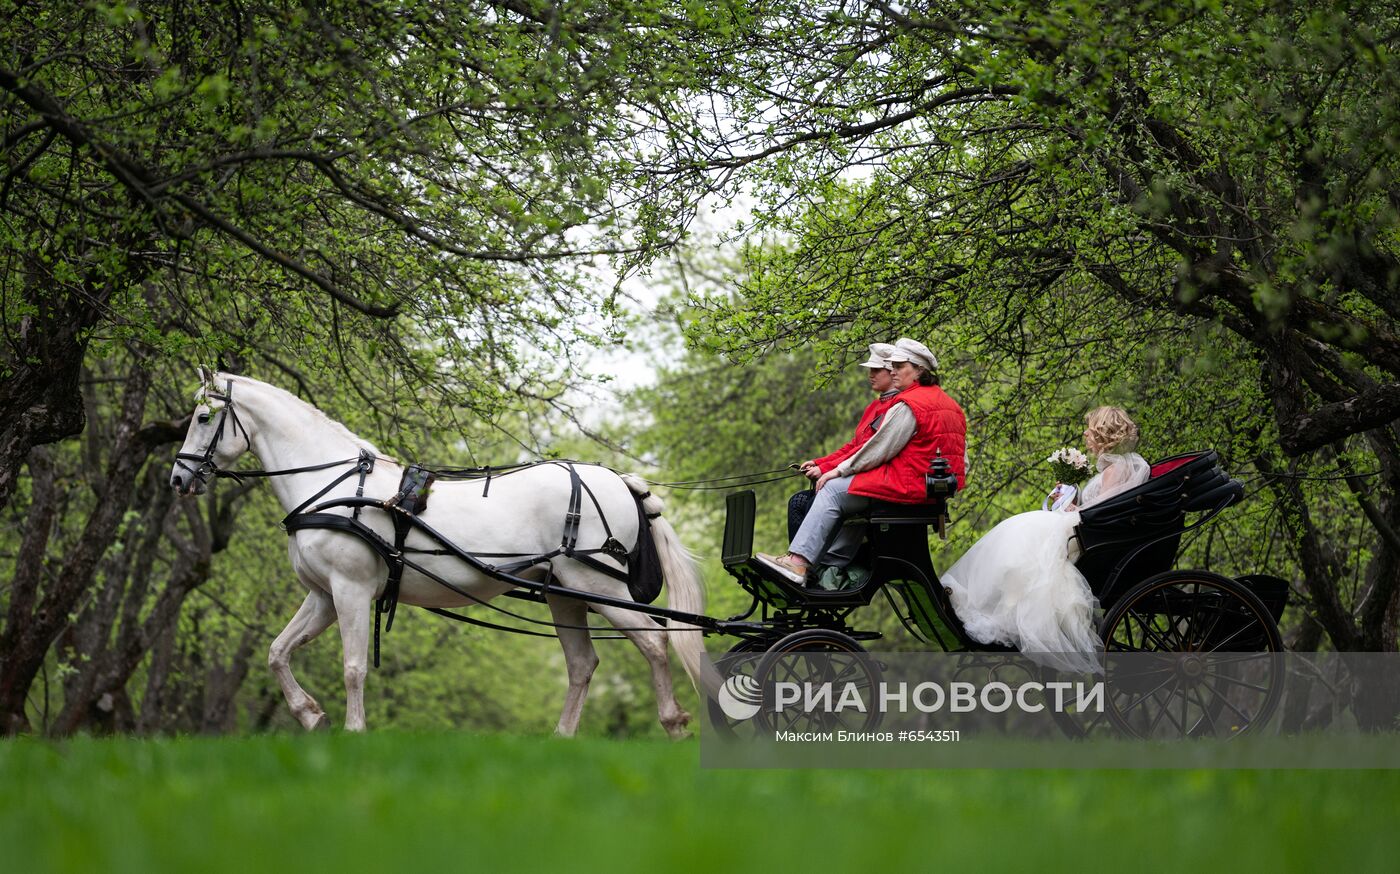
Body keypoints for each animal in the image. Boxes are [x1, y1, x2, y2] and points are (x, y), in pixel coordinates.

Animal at [173, 372, 716, 733]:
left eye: (203, 417)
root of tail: (618, 481)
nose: (178, 478)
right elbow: (277, 652)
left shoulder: (351, 590)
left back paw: (673, 722)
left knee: (655, 642)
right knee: (583, 665)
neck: (339, 486)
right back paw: (563, 739)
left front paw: (352, 732)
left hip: (599, 585)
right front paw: (309, 714)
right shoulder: (323, 596)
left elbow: (353, 668)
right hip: (565, 593)